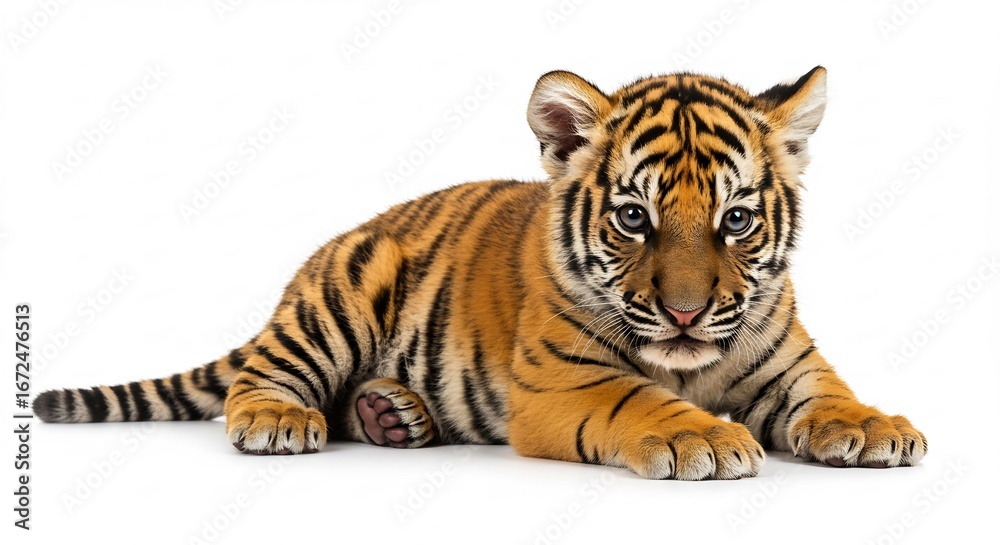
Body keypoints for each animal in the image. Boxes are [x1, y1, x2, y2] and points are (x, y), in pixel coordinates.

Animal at [34, 66, 927, 480]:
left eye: (735, 219)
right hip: (344, 289)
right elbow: (641, 398)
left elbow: (831, 395)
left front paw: (876, 426)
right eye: (633, 217)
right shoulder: (567, 382)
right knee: (261, 376)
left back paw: (392, 414)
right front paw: (700, 435)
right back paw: (281, 419)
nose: (682, 314)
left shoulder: (790, 363)